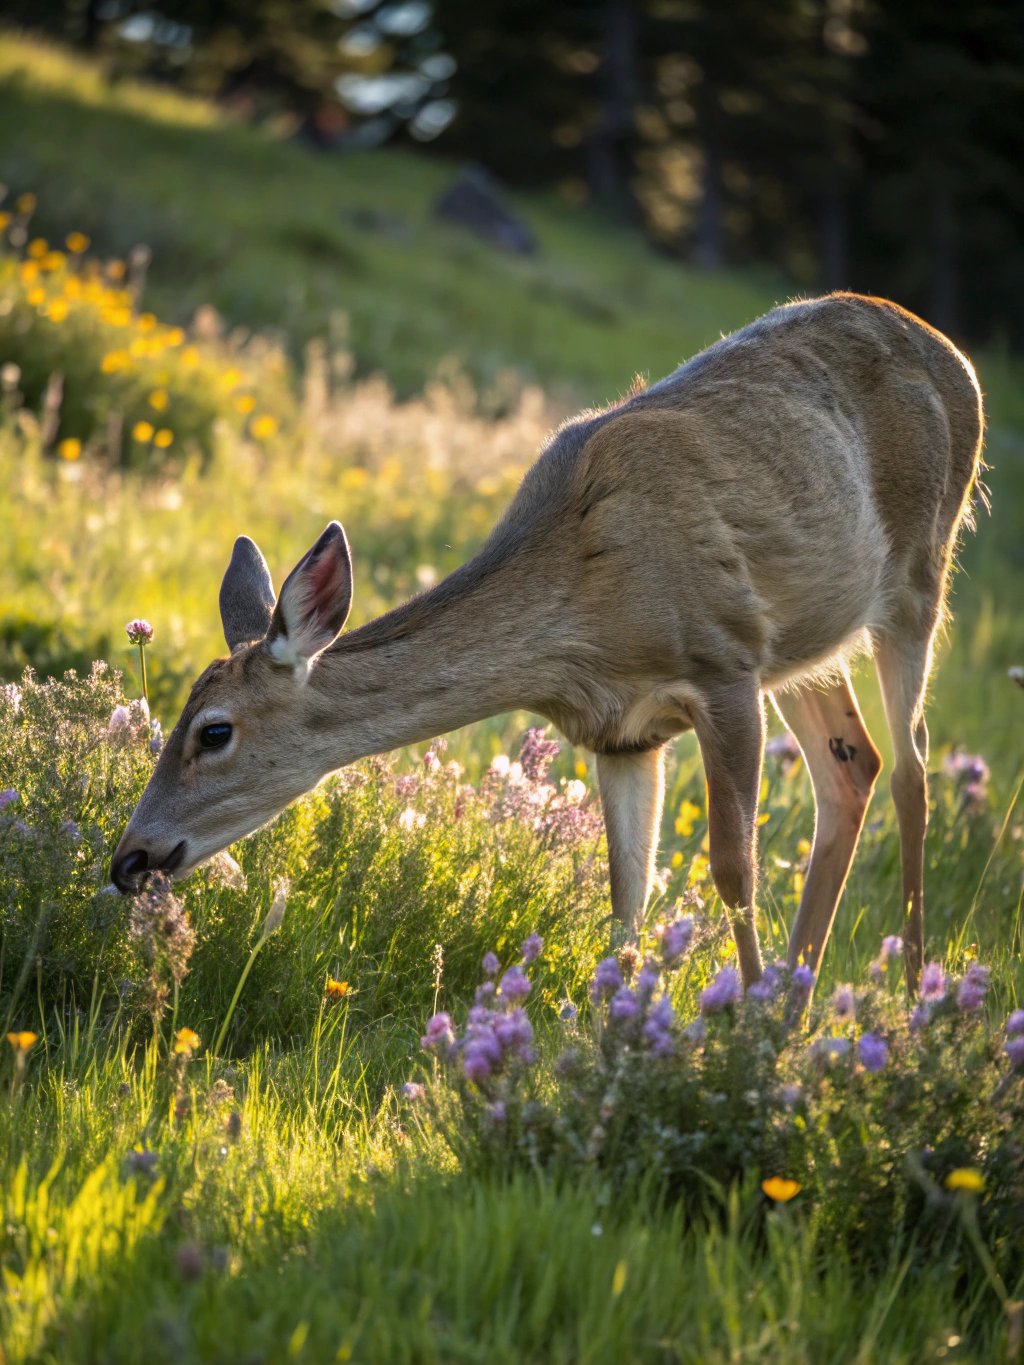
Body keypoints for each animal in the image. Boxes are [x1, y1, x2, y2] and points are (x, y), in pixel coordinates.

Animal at [111, 293, 984, 994]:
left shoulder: (724, 659)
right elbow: (627, 900)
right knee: (854, 763)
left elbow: (732, 871)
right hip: (808, 642)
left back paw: (910, 993)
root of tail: (957, 355)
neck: (582, 624)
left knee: (913, 766)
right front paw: (619, 1039)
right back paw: (796, 1001)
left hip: (920, 572)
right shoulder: (624, 733)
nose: (128, 859)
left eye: (213, 731)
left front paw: (735, 1041)